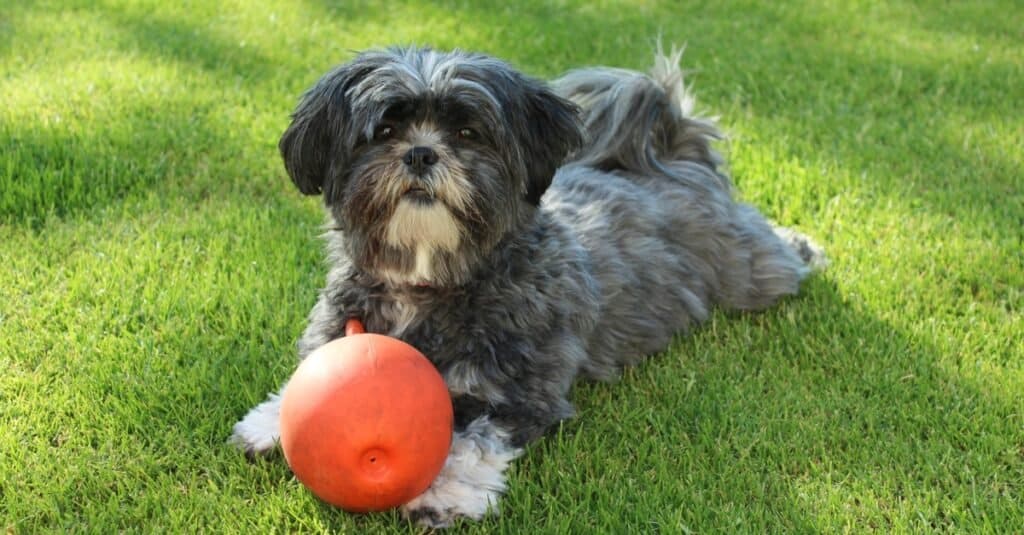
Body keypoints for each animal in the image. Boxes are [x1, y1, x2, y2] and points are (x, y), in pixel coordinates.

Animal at [230, 44, 823, 524]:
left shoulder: (520, 394)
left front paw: (444, 495)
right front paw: (270, 421)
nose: (421, 153)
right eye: (385, 131)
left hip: (752, 272)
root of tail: (677, 158)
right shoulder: (338, 326)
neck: (431, 281)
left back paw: (805, 247)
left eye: (467, 133)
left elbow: (472, 440)